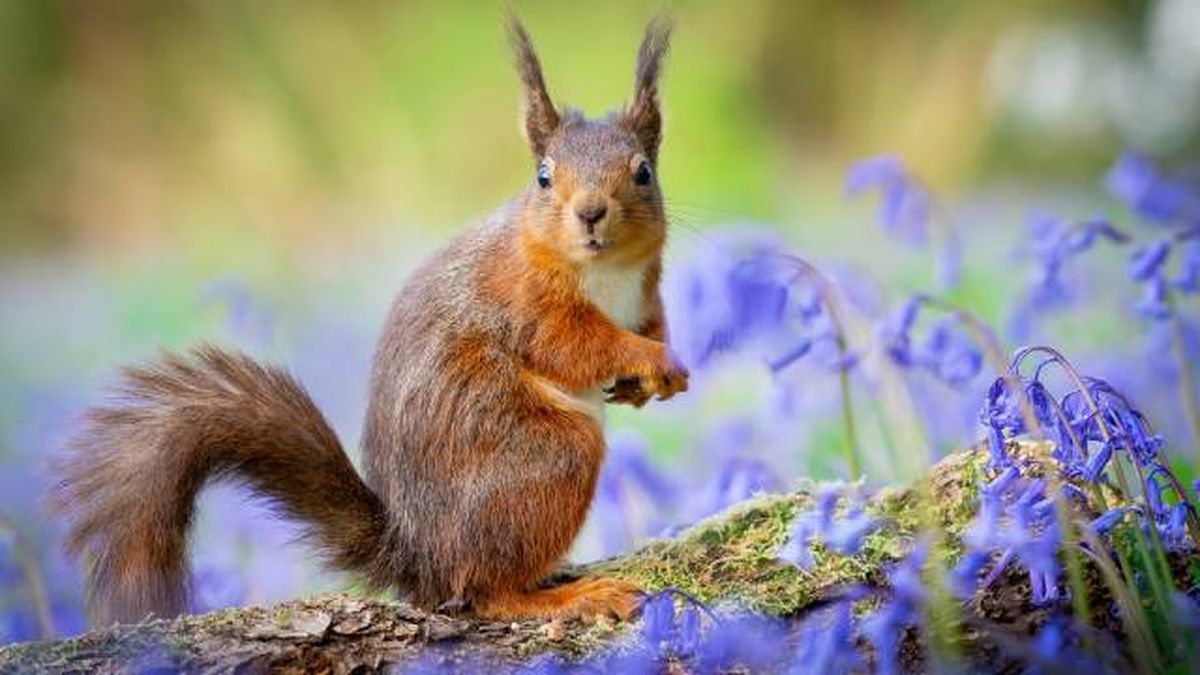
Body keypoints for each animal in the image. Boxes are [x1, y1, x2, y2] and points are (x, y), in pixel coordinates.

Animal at [52, 15, 688, 624]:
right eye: (543, 176)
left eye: (643, 172)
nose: (590, 212)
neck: (604, 272)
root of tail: (420, 558)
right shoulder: (525, 304)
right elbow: (574, 344)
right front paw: (650, 360)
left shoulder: (645, 293)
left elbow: (649, 323)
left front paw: (661, 374)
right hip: (543, 457)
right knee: (484, 591)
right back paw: (566, 596)